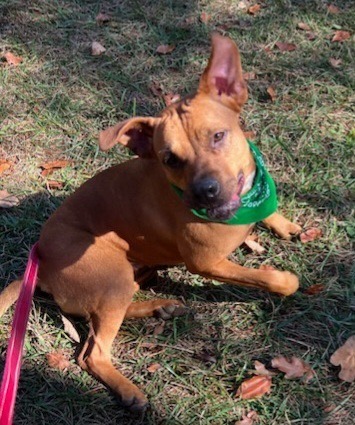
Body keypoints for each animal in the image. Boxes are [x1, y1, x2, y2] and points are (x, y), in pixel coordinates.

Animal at [0, 34, 302, 410]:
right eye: (169, 159)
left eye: (218, 136)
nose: (206, 192)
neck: (244, 202)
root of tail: (40, 261)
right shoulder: (207, 263)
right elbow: (268, 278)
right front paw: (286, 280)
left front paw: (282, 223)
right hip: (112, 274)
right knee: (92, 353)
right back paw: (130, 391)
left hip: (124, 279)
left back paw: (160, 307)